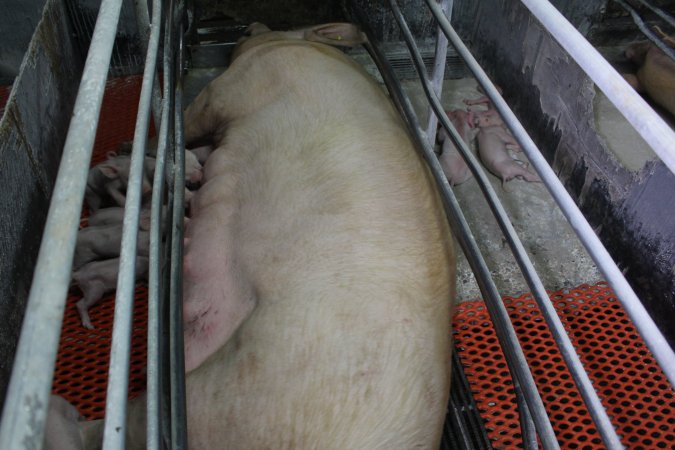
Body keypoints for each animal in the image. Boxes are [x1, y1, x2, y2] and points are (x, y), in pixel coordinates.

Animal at [47, 22, 456, 450]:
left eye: (267, 30)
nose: (251, 25)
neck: (290, 45)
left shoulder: (227, 89)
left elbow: (191, 118)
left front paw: (129, 146)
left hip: (220, 400)